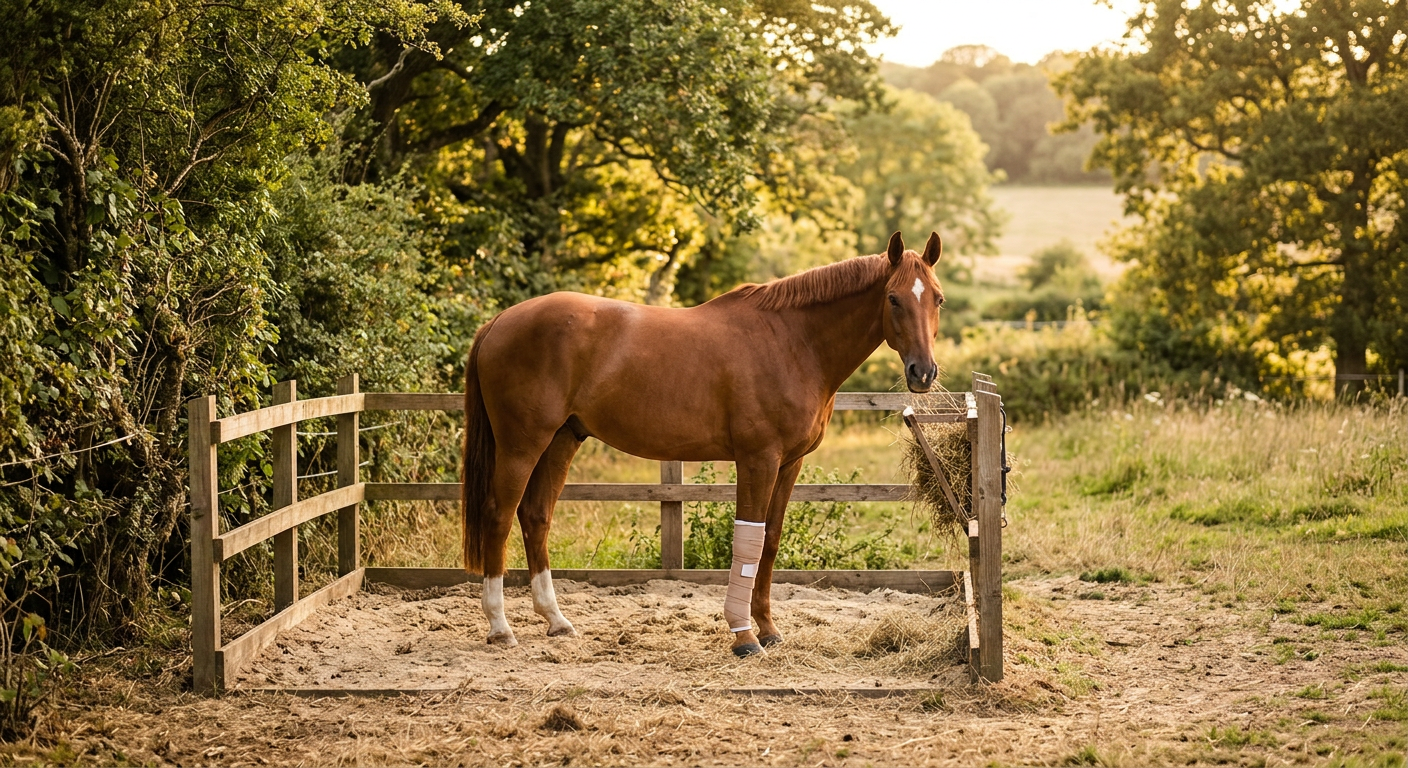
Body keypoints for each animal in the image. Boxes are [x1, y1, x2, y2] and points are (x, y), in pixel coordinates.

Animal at [461, 230, 945, 656]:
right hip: (522, 445)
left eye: (937, 298)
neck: (792, 342)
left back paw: (556, 620)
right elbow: (748, 538)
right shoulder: (757, 459)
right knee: (499, 516)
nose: (923, 372)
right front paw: (744, 635)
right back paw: (500, 628)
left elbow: (769, 540)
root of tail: (498, 321)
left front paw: (768, 629)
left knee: (535, 516)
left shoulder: (789, 463)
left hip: (562, 439)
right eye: (894, 298)